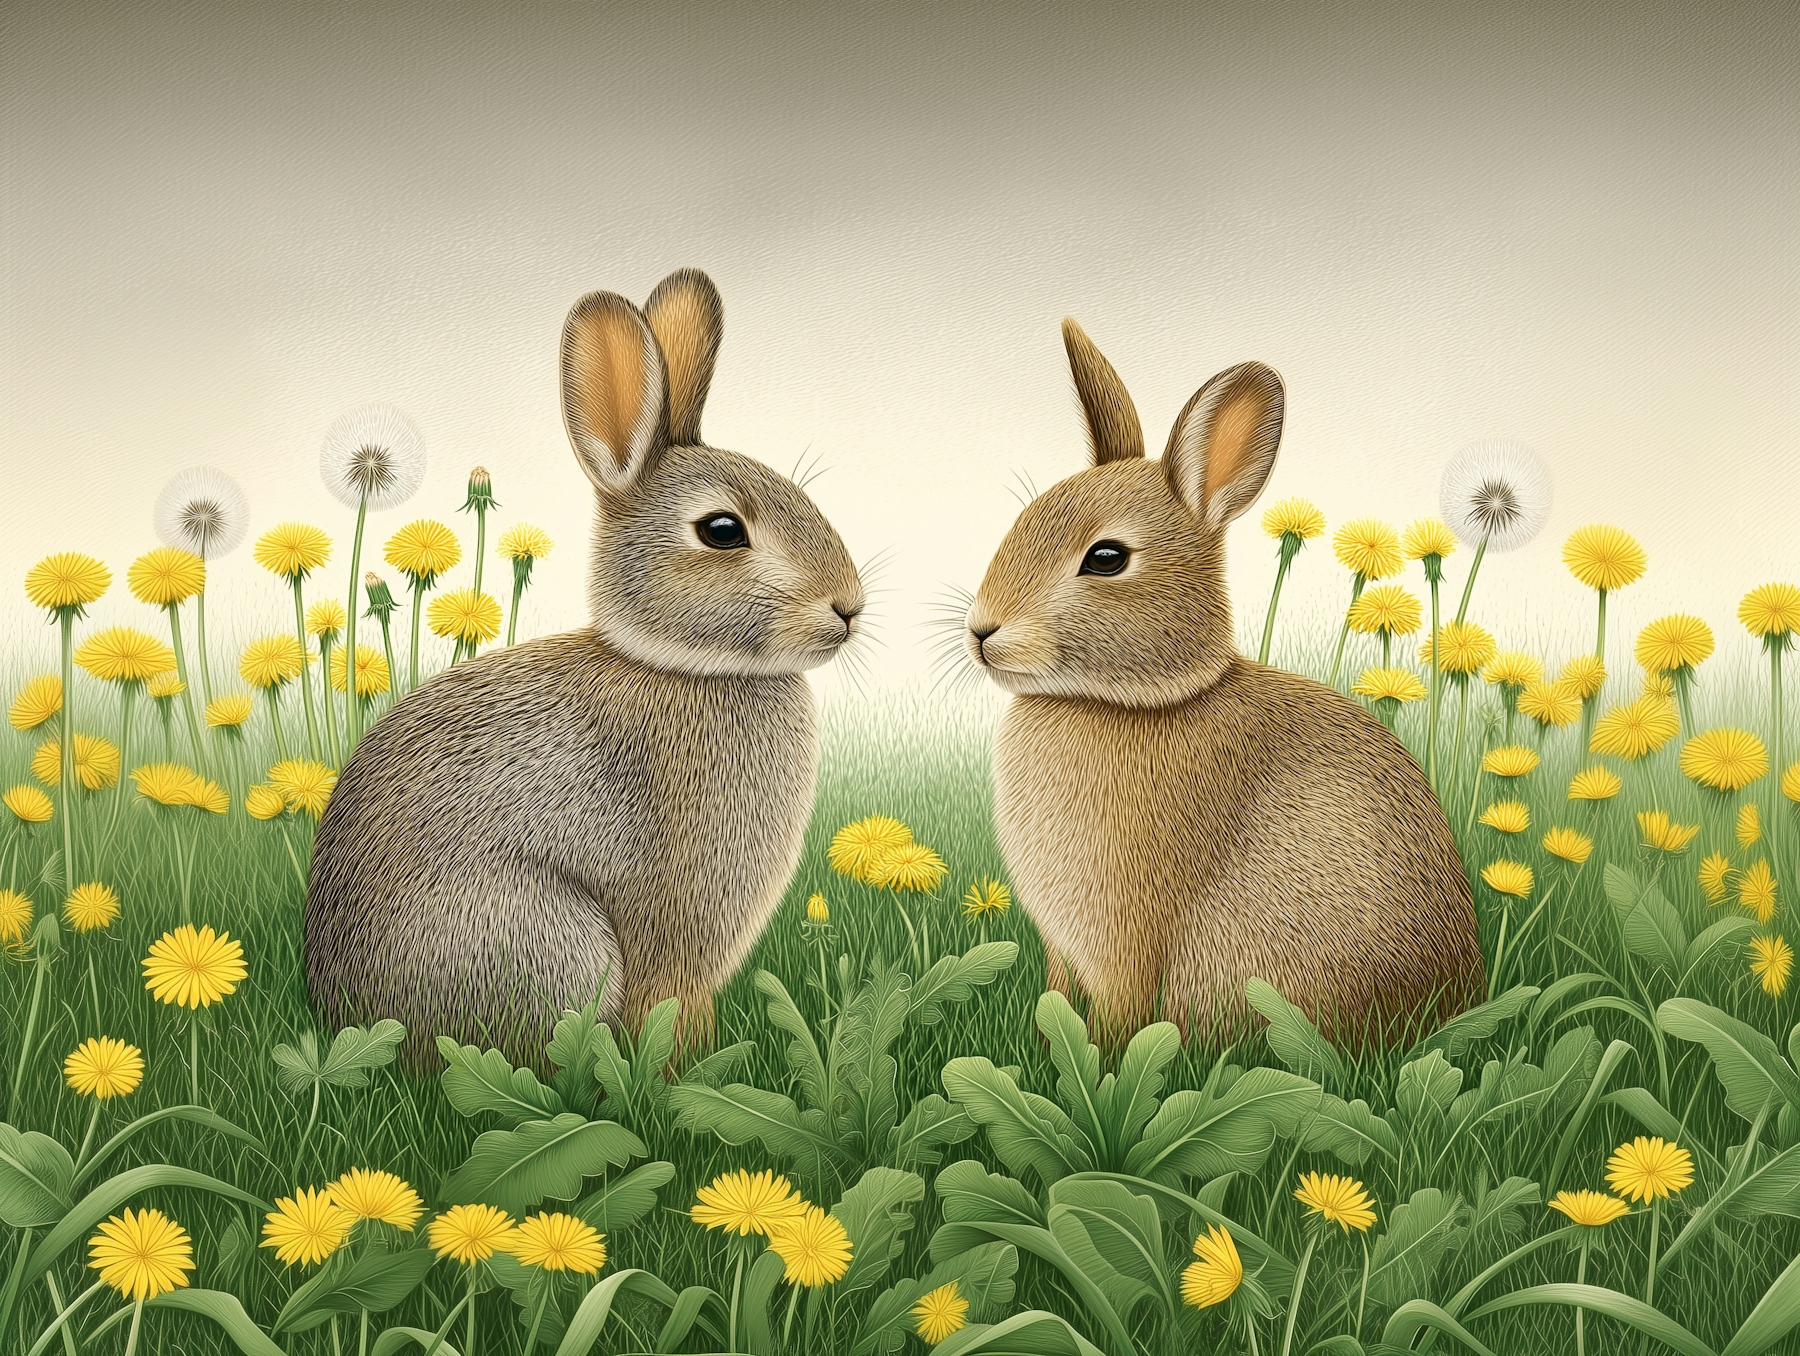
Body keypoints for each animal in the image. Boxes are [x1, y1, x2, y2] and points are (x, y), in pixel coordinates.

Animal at [305, 269, 866, 1066]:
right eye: (723, 530)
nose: (848, 606)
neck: (687, 668)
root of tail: (342, 1010)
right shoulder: (671, 924)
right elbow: (669, 1009)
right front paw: (686, 1066)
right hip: (547, 941)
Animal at [964, 318, 1482, 1048]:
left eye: (1106, 558)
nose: (982, 631)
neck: (1137, 701)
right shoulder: (1064, 949)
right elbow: (1057, 998)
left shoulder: (1128, 939)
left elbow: (1119, 1018)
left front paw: (1098, 1065)